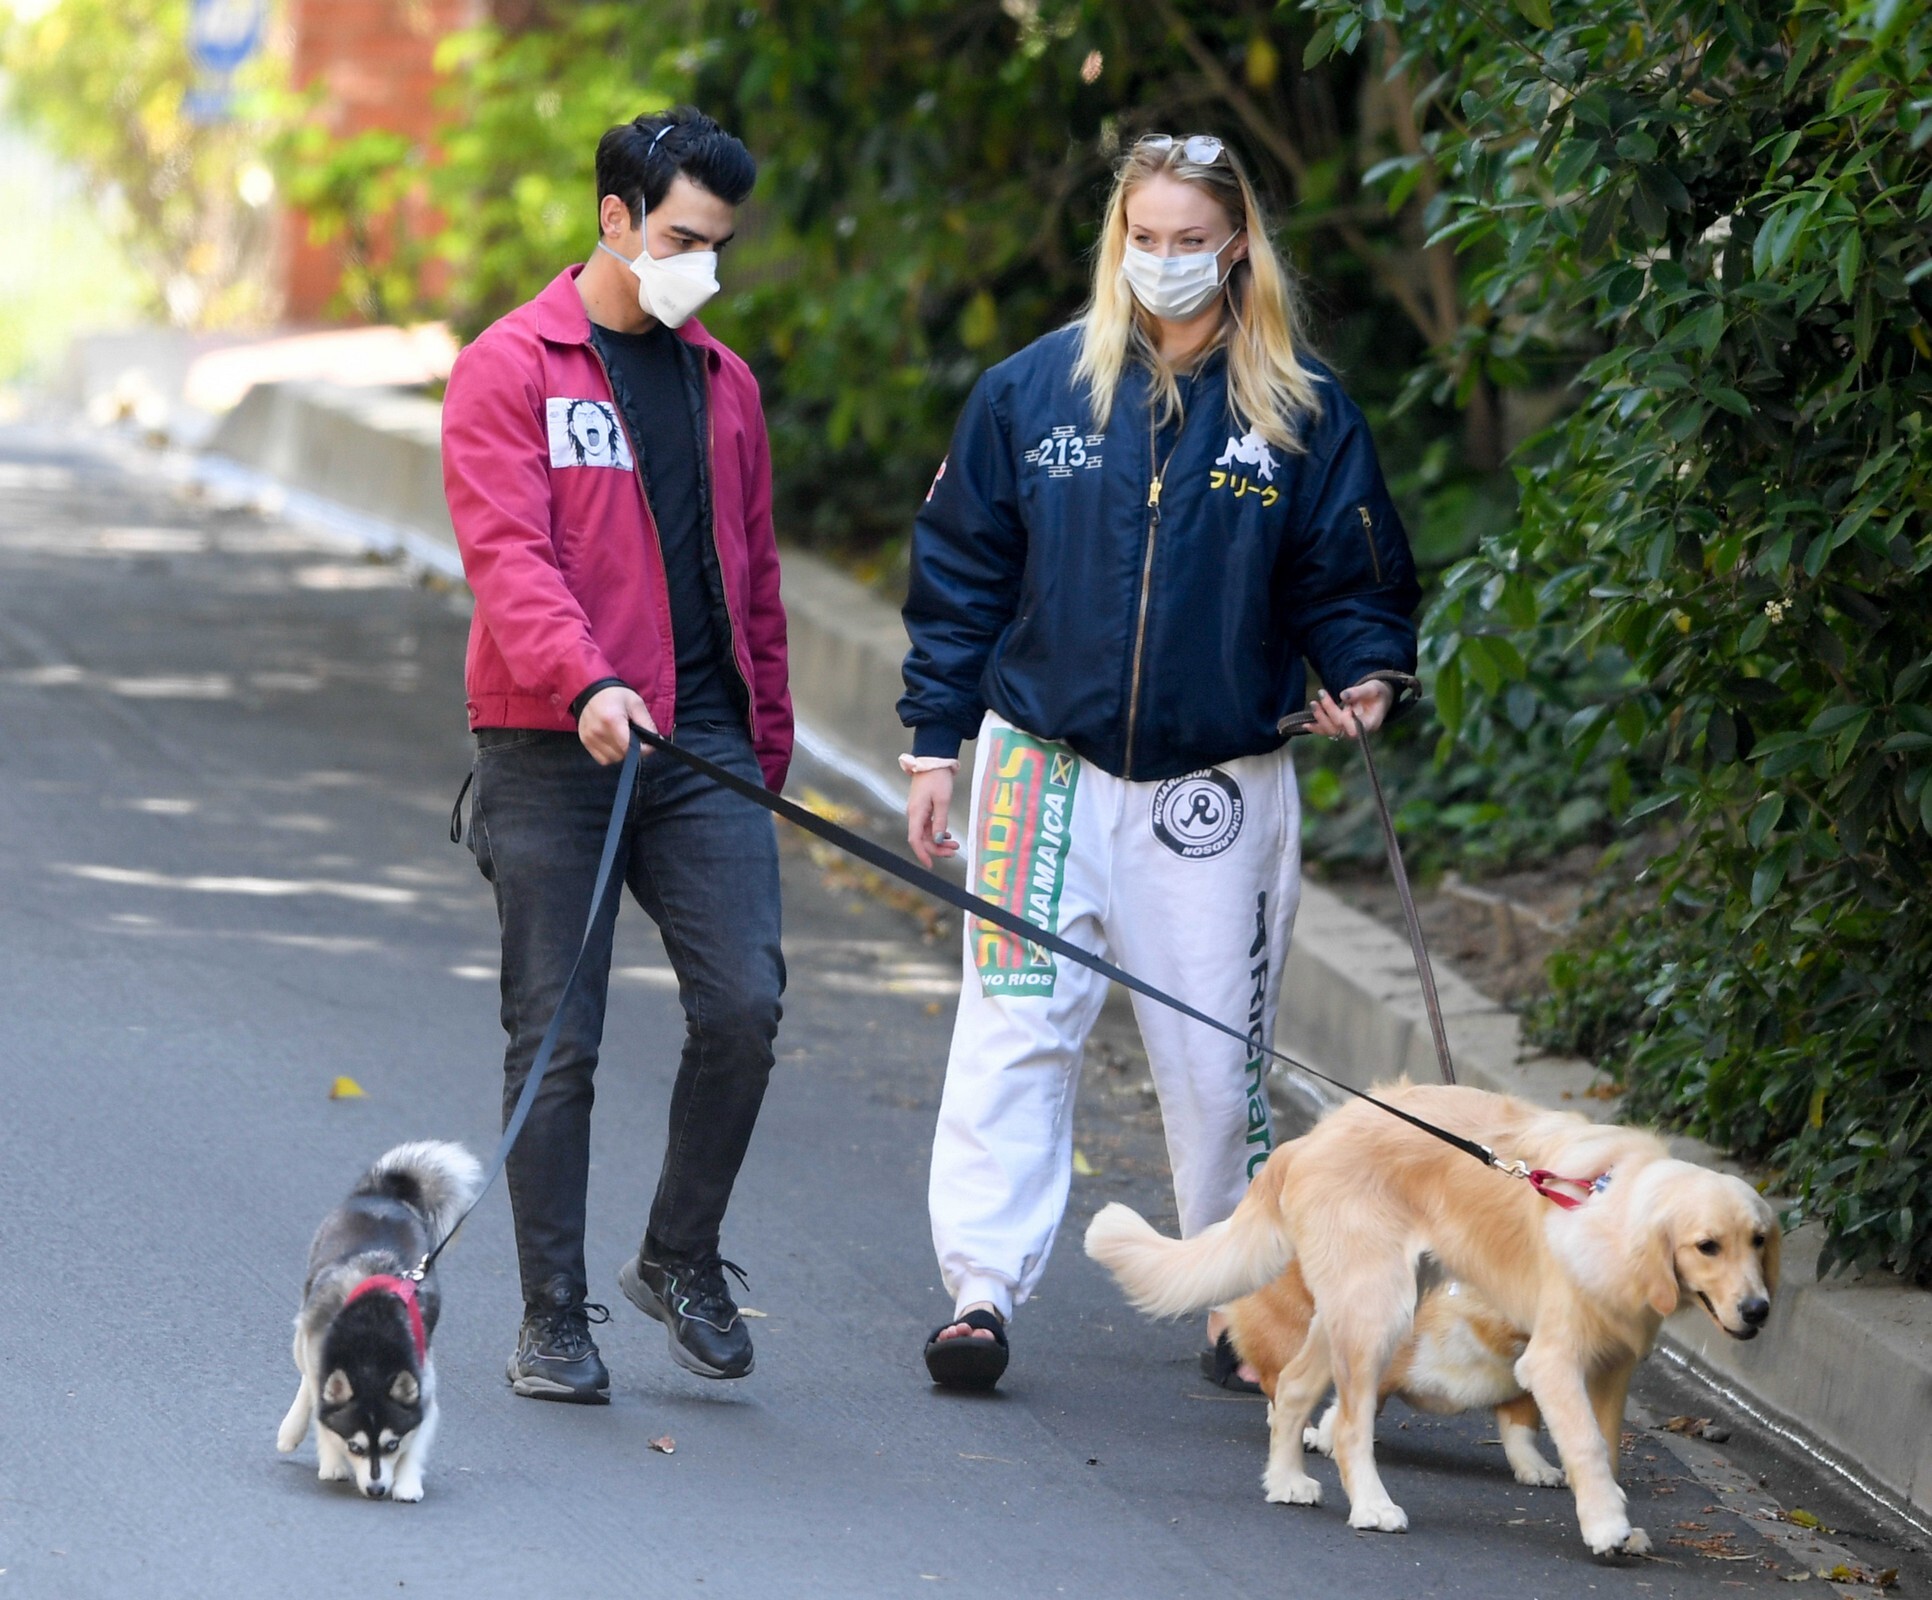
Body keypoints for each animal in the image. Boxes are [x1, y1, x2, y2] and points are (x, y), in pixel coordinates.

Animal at [276, 1141, 483, 1501]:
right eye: (355, 1448)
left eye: (391, 1445)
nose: (376, 1489)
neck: (370, 1346)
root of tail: (382, 1194)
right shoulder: (322, 1360)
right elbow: (323, 1418)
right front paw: (332, 1462)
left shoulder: (423, 1391)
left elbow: (417, 1441)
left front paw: (408, 1483)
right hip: (304, 1335)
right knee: (306, 1381)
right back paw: (292, 1428)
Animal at [1228, 1263, 1564, 1490]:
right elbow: (1352, 1410)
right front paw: (1329, 1439)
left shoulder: (1516, 1393)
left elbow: (1520, 1435)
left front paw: (1537, 1469)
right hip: (1292, 1333)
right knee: (1281, 1384)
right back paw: (1306, 1432)